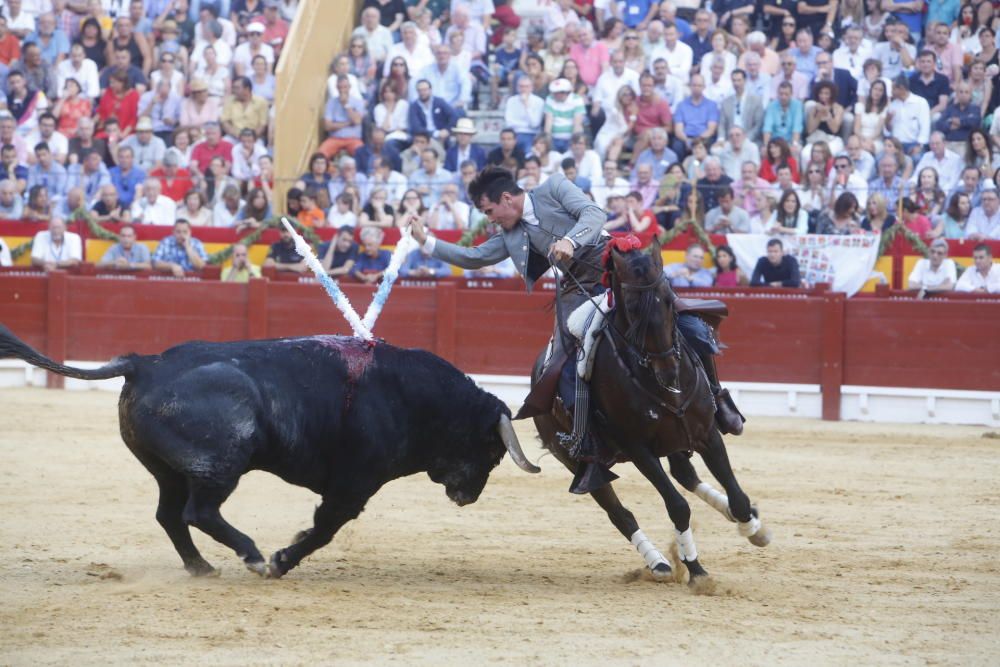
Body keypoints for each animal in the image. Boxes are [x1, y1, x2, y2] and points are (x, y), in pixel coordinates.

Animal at [0, 328, 540, 580]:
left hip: (168, 470)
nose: (467, 496)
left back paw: (202, 567)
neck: (413, 397)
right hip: (221, 464)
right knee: (199, 512)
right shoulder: (353, 485)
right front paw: (282, 559)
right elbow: (324, 529)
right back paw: (254, 557)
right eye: (492, 452)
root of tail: (144, 364)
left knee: (170, 514)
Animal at [532, 240, 772, 584]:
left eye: (670, 300)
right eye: (632, 307)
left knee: (686, 474)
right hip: (580, 462)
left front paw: (751, 526)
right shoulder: (639, 449)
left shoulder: (706, 433)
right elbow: (677, 506)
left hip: (675, 439)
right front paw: (695, 568)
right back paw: (658, 562)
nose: (668, 371)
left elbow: (738, 498)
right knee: (620, 513)